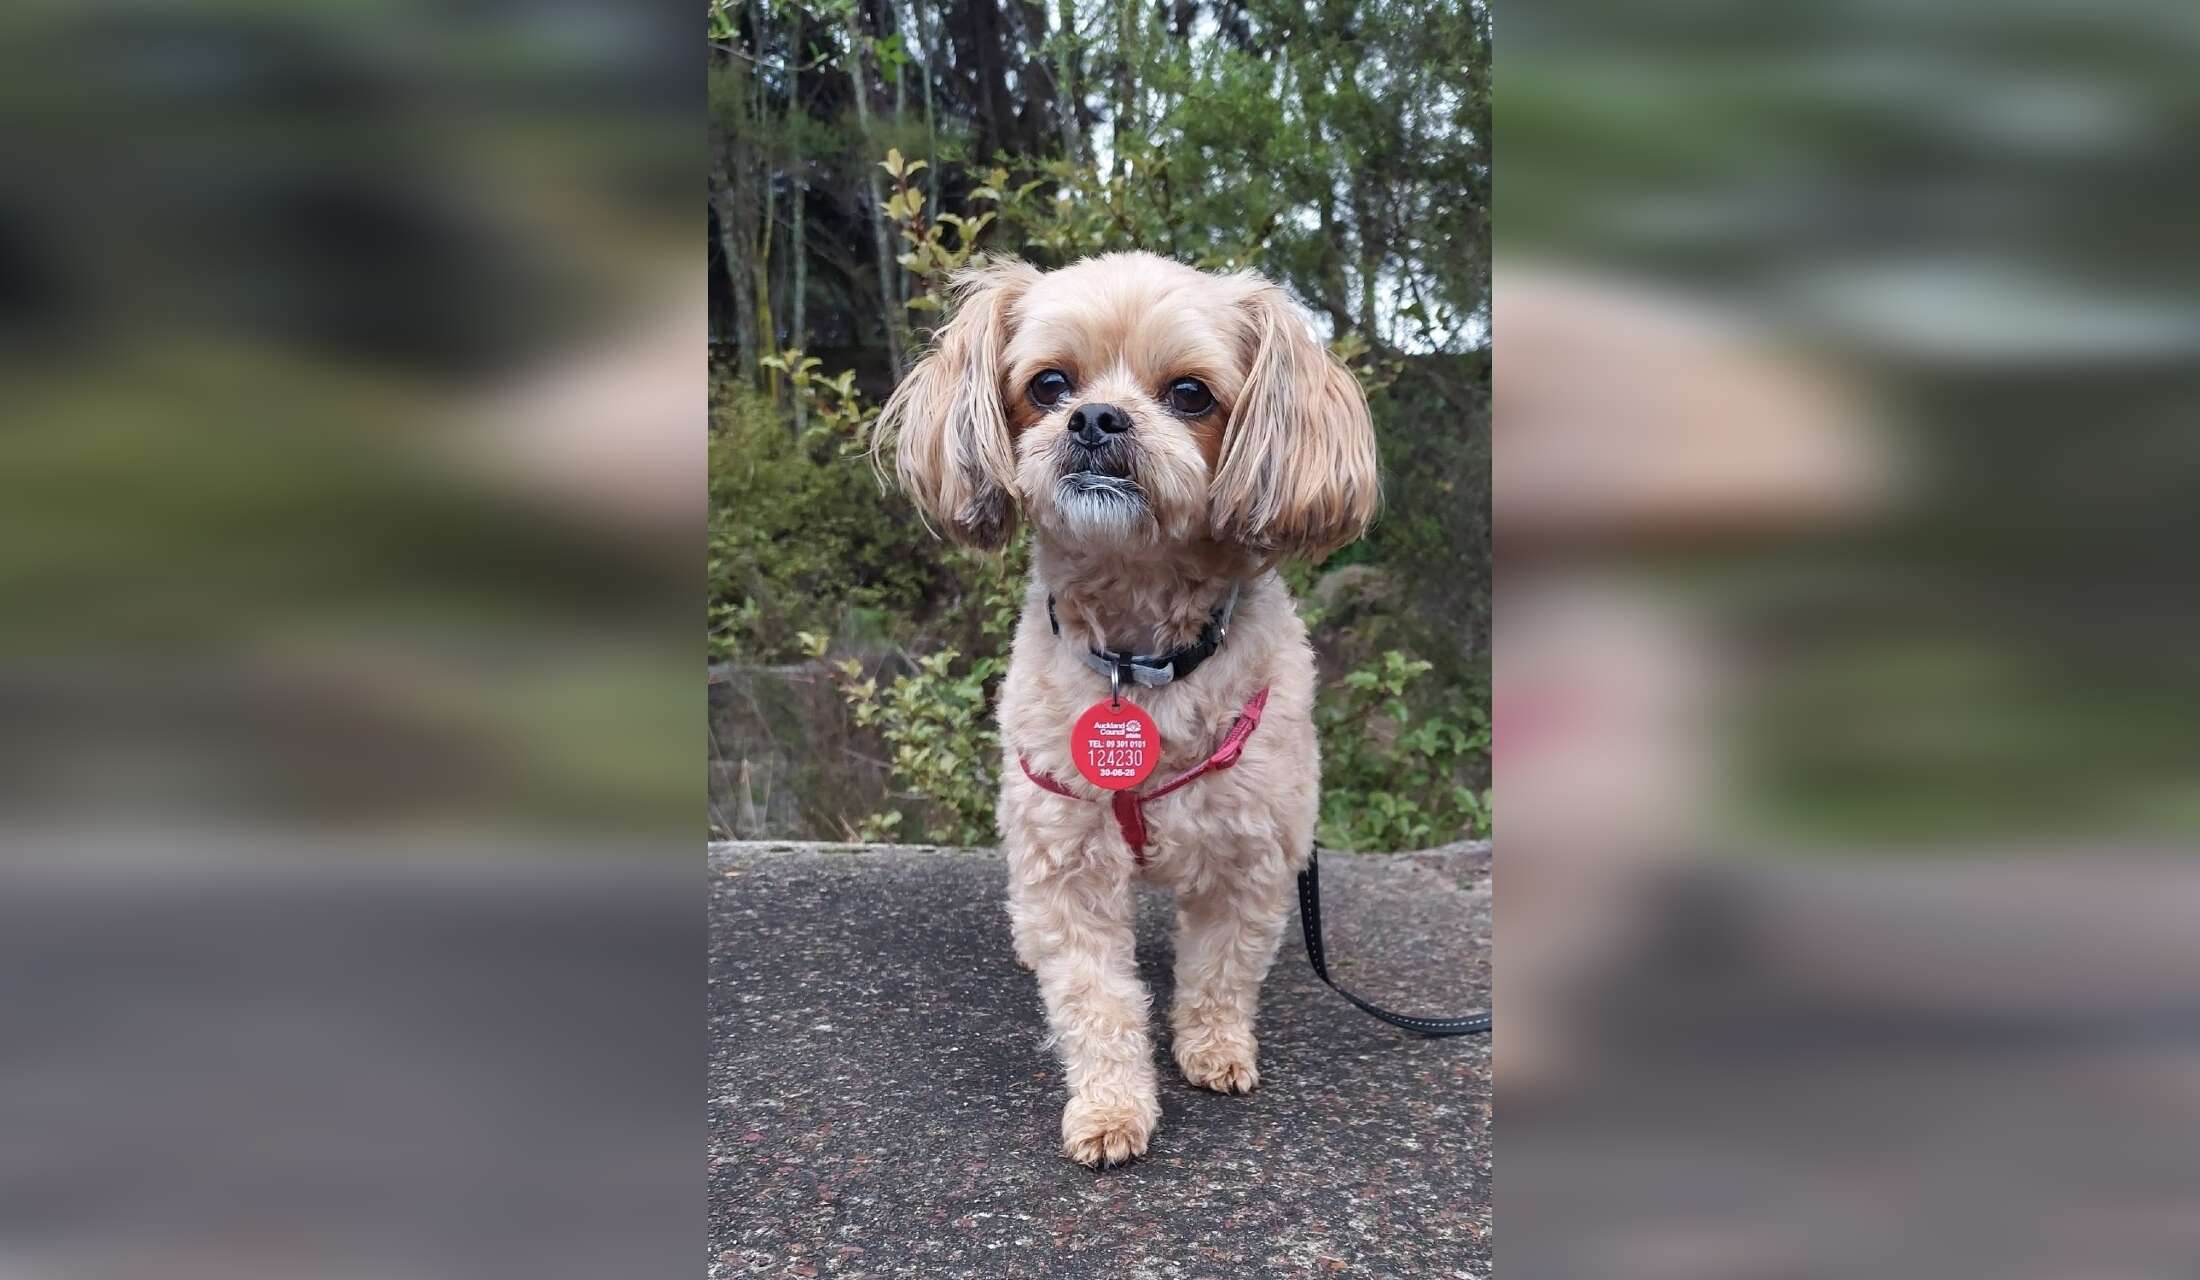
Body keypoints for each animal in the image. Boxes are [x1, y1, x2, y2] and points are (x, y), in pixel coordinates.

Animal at [876, 251, 1379, 1166]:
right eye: (1048, 384)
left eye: (1190, 394)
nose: (1095, 417)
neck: (1141, 663)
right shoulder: (1068, 863)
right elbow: (1096, 1000)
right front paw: (1111, 1108)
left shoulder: (1250, 858)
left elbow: (1220, 972)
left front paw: (1215, 1050)